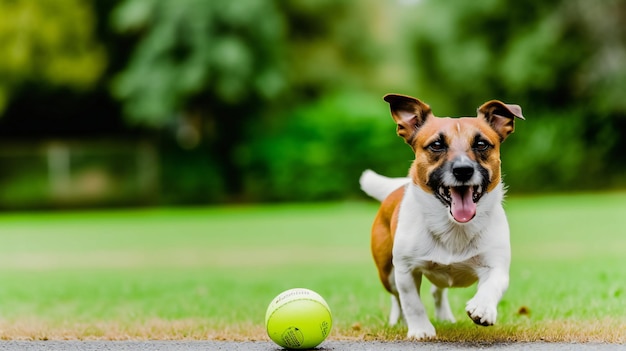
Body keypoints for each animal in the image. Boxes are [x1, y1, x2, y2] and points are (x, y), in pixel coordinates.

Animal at [356, 94, 520, 340]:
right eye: (436, 145)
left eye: (481, 144)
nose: (463, 170)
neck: (453, 227)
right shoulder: (405, 270)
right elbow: (412, 302)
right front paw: (420, 329)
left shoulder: (496, 264)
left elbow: (493, 285)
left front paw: (483, 308)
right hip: (387, 272)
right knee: (397, 298)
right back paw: (398, 320)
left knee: (437, 292)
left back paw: (445, 317)